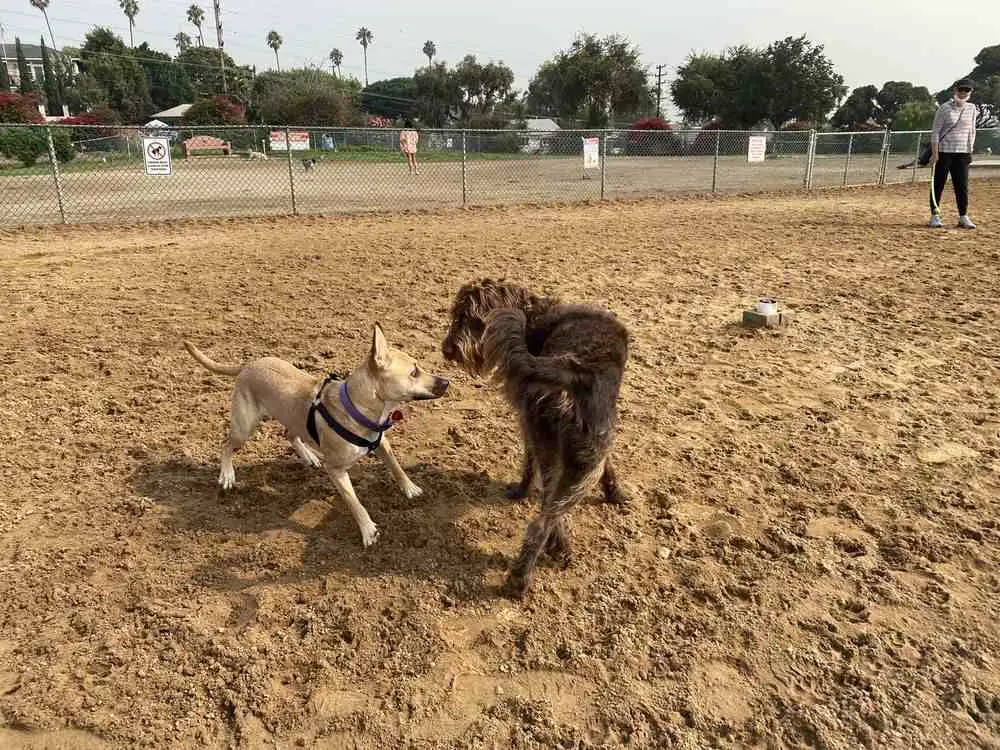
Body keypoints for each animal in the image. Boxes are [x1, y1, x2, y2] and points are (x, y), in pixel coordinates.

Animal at [184, 324, 450, 548]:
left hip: (292, 417)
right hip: (244, 427)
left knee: (289, 433)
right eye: (414, 372)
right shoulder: (336, 470)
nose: (446, 382)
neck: (357, 406)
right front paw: (367, 530)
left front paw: (410, 488)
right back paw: (227, 475)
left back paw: (308, 456)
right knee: (226, 444)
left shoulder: (382, 442)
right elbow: (353, 501)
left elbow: (396, 467)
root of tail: (248, 365)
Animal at [444, 276, 628, 600]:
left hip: (567, 454)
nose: (447, 349)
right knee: (543, 518)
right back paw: (530, 572)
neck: (534, 315)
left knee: (546, 513)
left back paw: (536, 563)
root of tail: (574, 369)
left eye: (469, 318)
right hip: (572, 457)